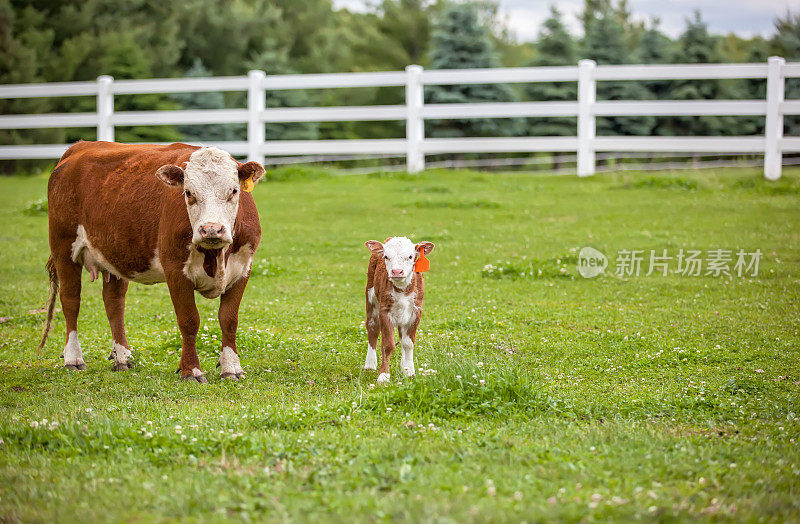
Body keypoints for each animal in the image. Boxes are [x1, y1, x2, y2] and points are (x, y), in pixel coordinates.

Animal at [39, 141, 264, 382]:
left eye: (234, 191)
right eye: (188, 192)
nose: (211, 229)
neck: (216, 255)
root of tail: (80, 146)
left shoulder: (242, 269)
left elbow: (229, 319)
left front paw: (231, 368)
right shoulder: (175, 270)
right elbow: (189, 320)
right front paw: (191, 371)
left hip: (115, 253)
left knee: (114, 302)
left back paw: (122, 358)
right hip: (63, 248)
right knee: (71, 300)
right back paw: (73, 358)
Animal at [364, 236, 434, 380]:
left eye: (410, 256)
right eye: (386, 256)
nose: (396, 271)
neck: (402, 288)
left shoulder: (416, 311)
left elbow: (408, 343)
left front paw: (409, 371)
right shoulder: (384, 311)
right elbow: (388, 345)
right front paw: (384, 375)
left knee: (402, 337)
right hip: (371, 297)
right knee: (372, 328)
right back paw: (370, 364)